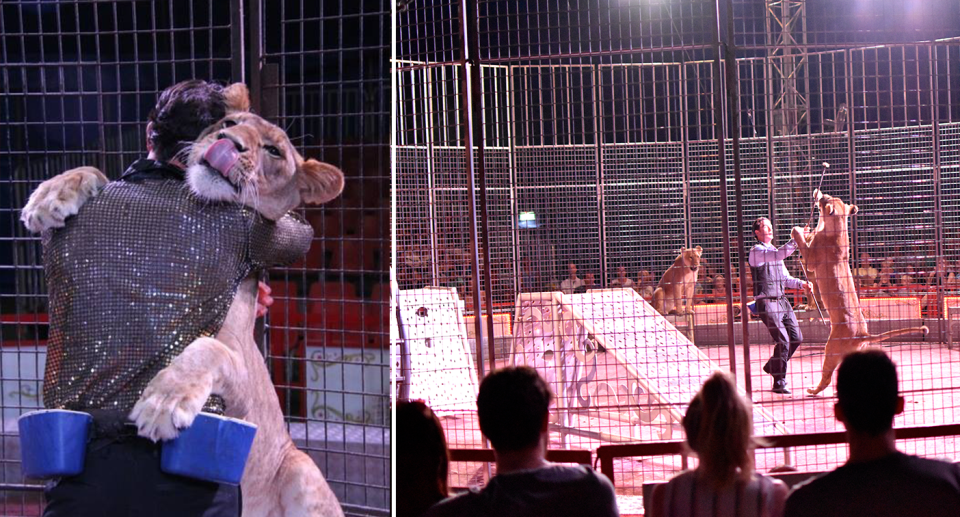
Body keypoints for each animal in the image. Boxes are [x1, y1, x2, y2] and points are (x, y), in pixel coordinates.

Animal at [792, 189, 928, 396]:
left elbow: (803, 246)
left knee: (826, 376)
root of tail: (862, 334)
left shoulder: (811, 263)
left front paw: (798, 230)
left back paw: (813, 390)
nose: (819, 193)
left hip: (831, 348)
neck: (836, 225)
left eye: (825, 199)